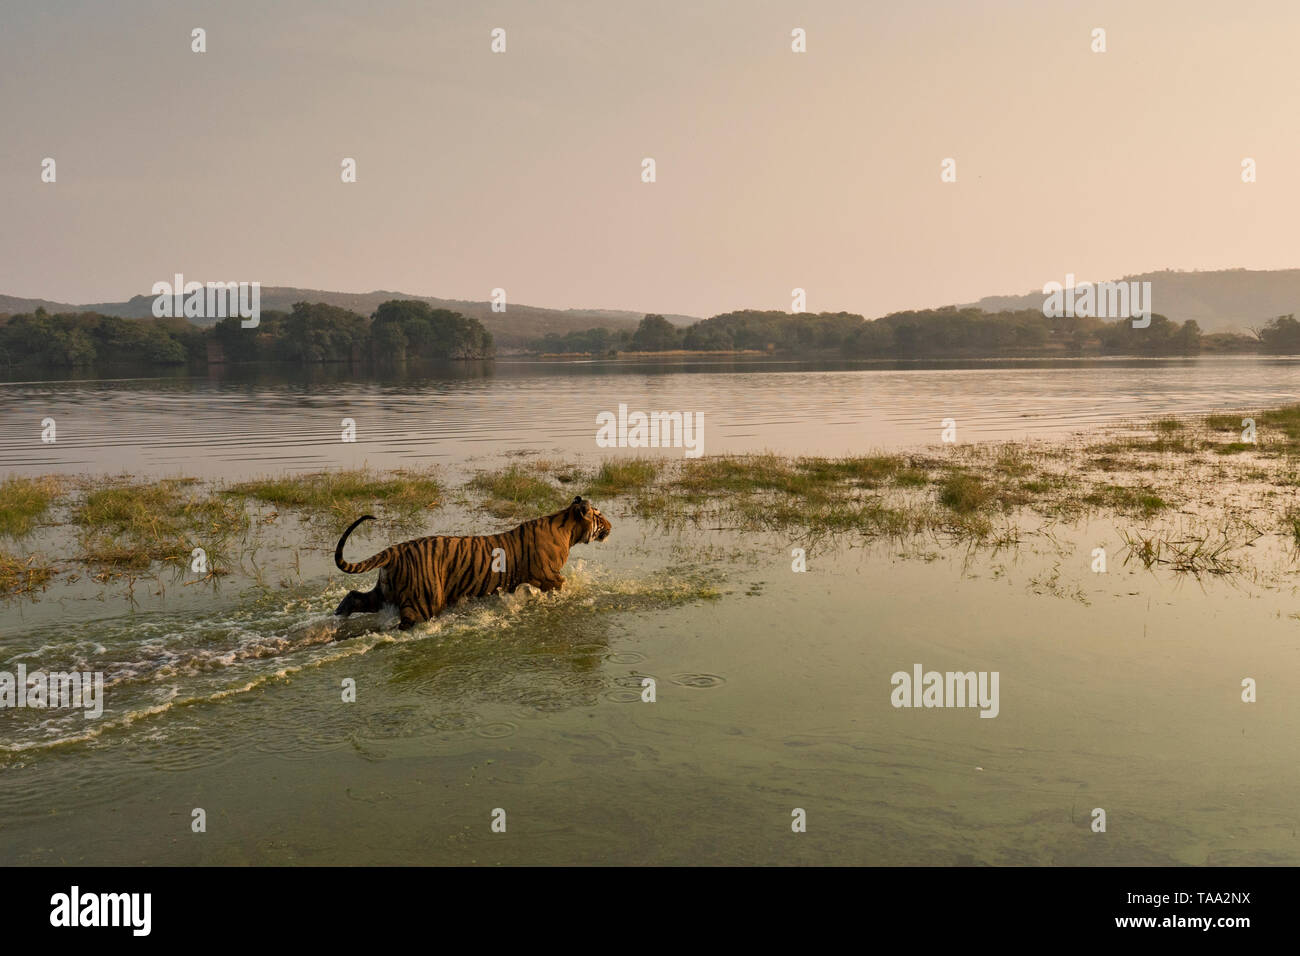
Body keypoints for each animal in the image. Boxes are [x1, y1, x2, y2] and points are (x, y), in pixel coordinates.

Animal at [332, 496, 611, 632]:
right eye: (600, 516)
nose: (611, 526)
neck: (567, 527)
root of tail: (394, 550)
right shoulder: (548, 576)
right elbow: (565, 586)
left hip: (385, 591)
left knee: (354, 596)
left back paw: (338, 618)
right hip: (424, 602)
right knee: (403, 623)